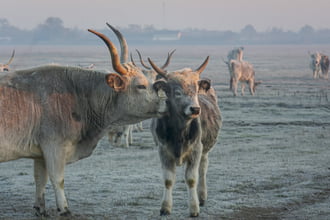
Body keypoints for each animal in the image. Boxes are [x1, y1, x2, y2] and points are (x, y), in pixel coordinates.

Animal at [0, 24, 168, 217]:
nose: (165, 102)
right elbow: (58, 179)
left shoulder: (40, 152)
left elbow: (40, 179)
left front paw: (40, 209)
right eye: (140, 86)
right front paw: (64, 209)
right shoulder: (54, 146)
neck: (76, 93)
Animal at [149, 55, 222, 217]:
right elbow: (168, 180)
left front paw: (194, 209)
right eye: (177, 92)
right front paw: (165, 208)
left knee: (203, 169)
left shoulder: (196, 150)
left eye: (195, 90)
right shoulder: (163, 151)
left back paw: (202, 197)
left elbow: (191, 179)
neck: (179, 132)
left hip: (205, 150)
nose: (195, 109)